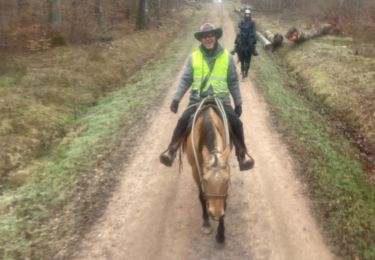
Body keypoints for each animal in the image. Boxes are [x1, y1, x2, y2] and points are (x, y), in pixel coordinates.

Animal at [184, 98, 234, 243]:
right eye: (205, 180)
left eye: (227, 180)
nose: (216, 213)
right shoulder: (196, 170)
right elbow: (201, 195)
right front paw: (206, 223)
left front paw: (221, 234)